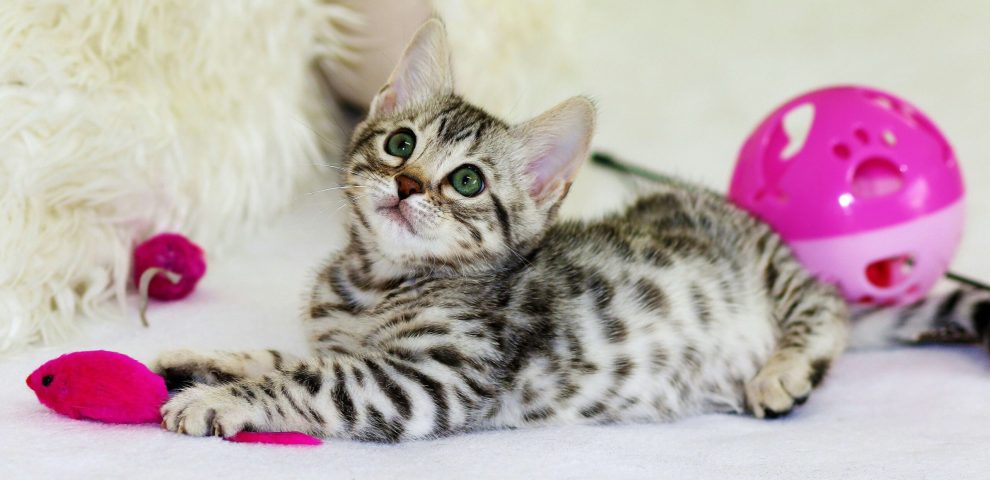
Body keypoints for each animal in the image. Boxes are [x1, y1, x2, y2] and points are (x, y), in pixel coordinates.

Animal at [155, 21, 990, 442]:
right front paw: (202, 360)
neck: (374, 281)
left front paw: (221, 399)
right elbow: (283, 355)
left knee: (828, 306)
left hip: (778, 273)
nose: (407, 184)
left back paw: (783, 370)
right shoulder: (349, 346)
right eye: (400, 143)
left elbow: (307, 381)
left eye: (467, 182)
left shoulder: (423, 380)